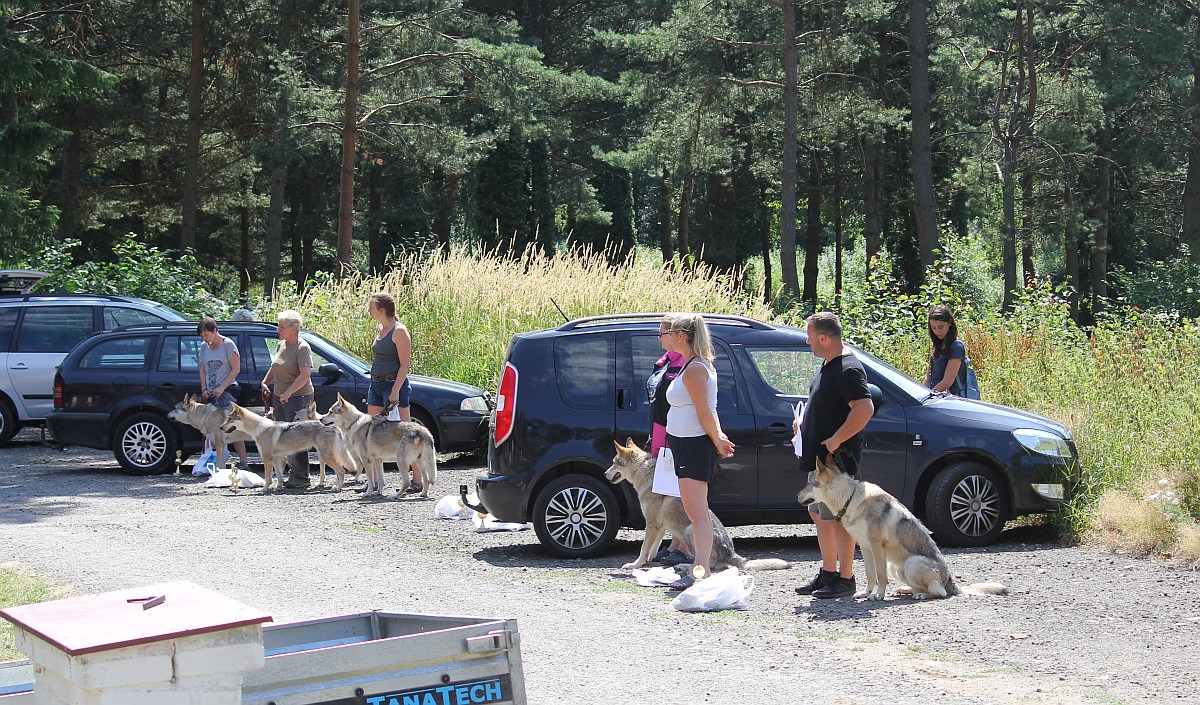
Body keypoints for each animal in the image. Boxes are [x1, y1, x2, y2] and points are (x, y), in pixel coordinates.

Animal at [223, 405, 357, 493]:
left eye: (230, 419)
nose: (220, 427)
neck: (259, 428)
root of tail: (335, 427)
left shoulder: (267, 459)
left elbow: (268, 478)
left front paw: (264, 489)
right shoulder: (277, 459)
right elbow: (279, 476)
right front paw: (279, 487)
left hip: (326, 457)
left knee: (341, 471)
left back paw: (338, 488)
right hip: (329, 456)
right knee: (339, 472)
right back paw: (336, 486)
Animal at [604, 441, 792, 573]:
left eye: (613, 463)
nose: (605, 474)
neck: (645, 473)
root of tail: (731, 553)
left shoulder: (651, 524)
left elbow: (643, 548)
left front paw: (635, 565)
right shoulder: (660, 526)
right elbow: (653, 547)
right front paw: (650, 560)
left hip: (689, 531)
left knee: (711, 565)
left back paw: (684, 567)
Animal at [801, 450, 1008, 599]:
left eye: (808, 483)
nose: (797, 496)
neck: (850, 498)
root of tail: (950, 581)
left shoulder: (877, 547)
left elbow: (880, 576)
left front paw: (878, 596)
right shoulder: (866, 548)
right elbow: (870, 574)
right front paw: (866, 593)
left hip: (911, 563)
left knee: (939, 593)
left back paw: (920, 595)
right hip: (896, 568)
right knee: (923, 588)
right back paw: (905, 591)